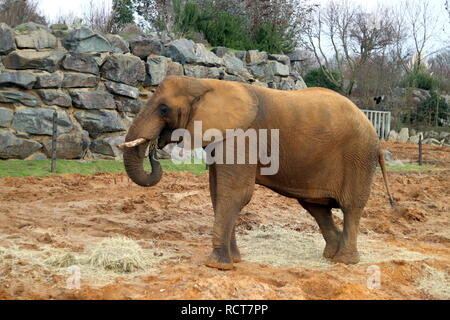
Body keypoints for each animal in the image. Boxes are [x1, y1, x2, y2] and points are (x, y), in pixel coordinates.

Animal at [120, 75, 394, 270]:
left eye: (163, 109)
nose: (154, 149)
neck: (205, 83)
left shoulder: (242, 137)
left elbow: (235, 193)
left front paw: (217, 265)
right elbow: (217, 193)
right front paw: (235, 260)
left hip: (358, 158)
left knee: (350, 207)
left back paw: (344, 262)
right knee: (316, 207)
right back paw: (330, 255)